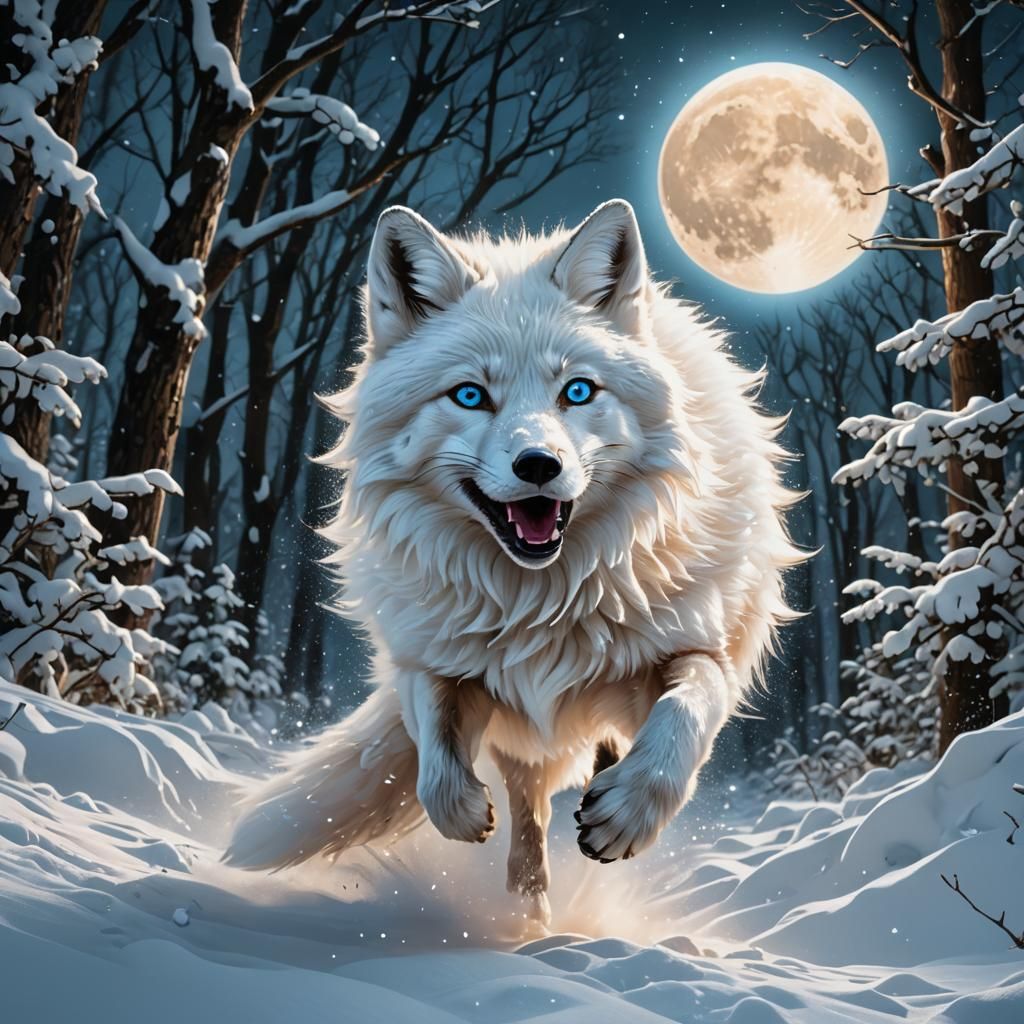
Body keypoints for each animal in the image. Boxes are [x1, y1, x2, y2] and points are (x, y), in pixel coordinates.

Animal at [224, 199, 802, 924]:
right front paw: (465, 812)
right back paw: (528, 919)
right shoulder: (434, 662)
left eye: (577, 392)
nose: (539, 465)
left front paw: (626, 816)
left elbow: (683, 720)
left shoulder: (698, 650)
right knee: (529, 814)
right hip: (520, 740)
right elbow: (435, 761)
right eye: (470, 396)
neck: (545, 599)